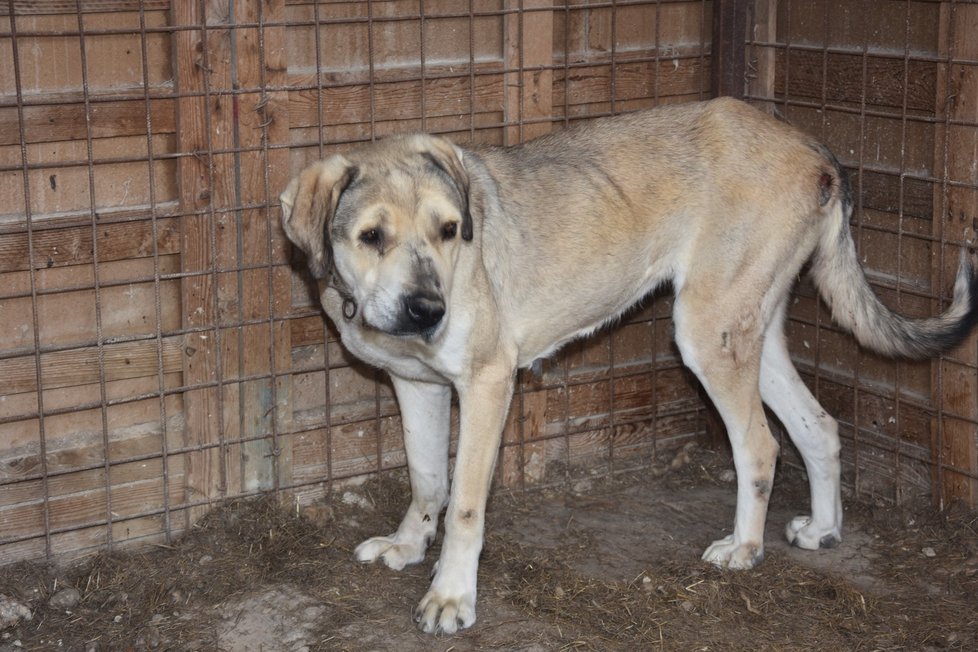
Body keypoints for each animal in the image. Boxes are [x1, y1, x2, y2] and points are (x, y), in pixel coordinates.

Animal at [276, 99, 976, 636]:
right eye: (372, 236)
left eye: (451, 230)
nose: (429, 311)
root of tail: (813, 148)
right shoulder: (416, 385)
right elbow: (427, 481)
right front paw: (406, 546)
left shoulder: (486, 385)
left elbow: (466, 507)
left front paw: (451, 595)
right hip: (746, 334)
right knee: (818, 428)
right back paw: (825, 529)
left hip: (705, 336)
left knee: (760, 444)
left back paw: (743, 548)